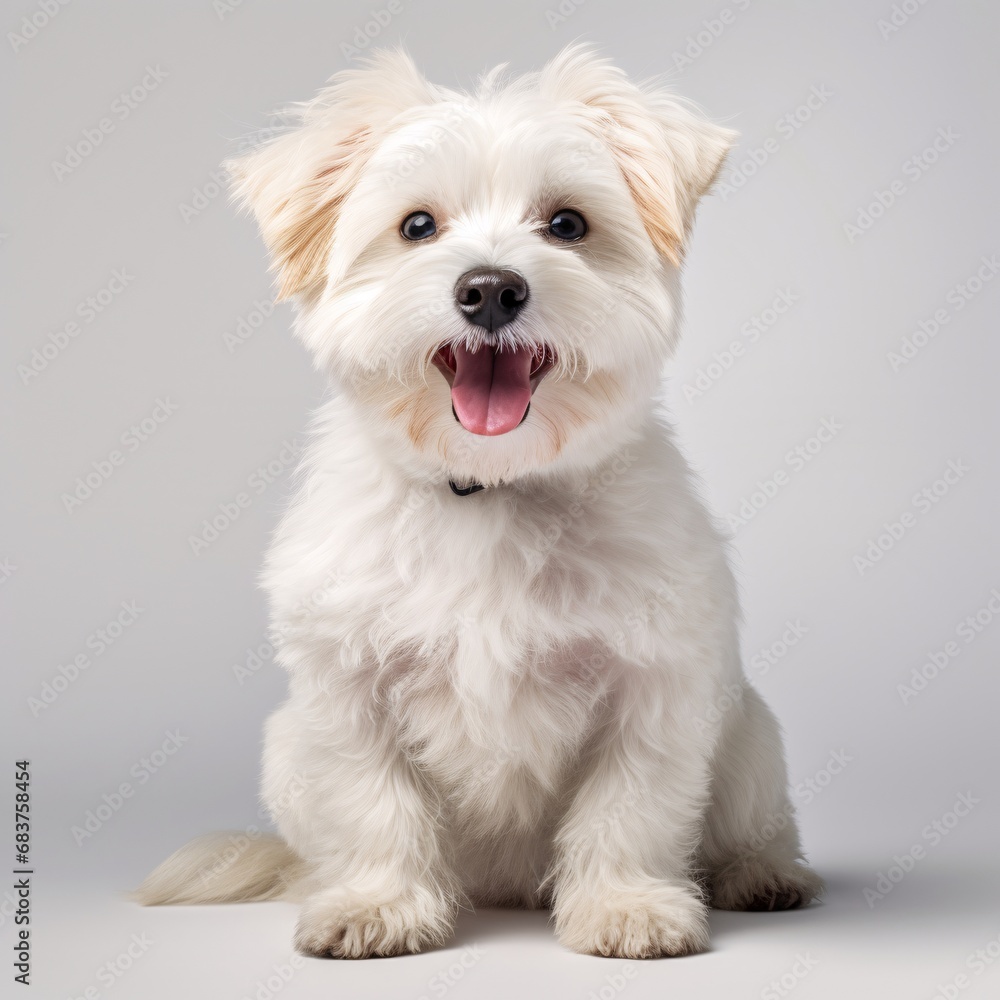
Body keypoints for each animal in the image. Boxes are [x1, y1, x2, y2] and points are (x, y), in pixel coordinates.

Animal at [137, 47, 824, 960]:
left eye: (567, 225)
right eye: (417, 227)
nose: (491, 289)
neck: (489, 487)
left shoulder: (655, 684)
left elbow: (629, 804)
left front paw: (625, 905)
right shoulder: (348, 685)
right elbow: (373, 801)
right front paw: (378, 904)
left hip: (750, 739)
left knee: (752, 822)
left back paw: (761, 873)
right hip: (285, 750)